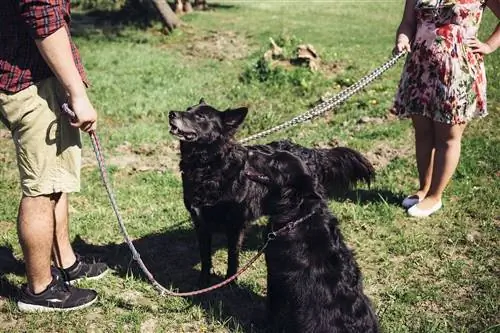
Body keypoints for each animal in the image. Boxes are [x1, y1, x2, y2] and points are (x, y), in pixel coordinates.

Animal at [169, 99, 376, 286]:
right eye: (188, 108)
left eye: (200, 116)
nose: (171, 113)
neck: (208, 167)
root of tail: (312, 152)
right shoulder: (200, 223)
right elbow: (205, 257)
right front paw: (203, 282)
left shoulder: (235, 225)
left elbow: (232, 257)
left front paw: (229, 283)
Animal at [243, 150, 378, 332]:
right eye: (272, 154)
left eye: (275, 164)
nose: (249, 152)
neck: (298, 214)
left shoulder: (274, 271)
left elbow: (272, 305)